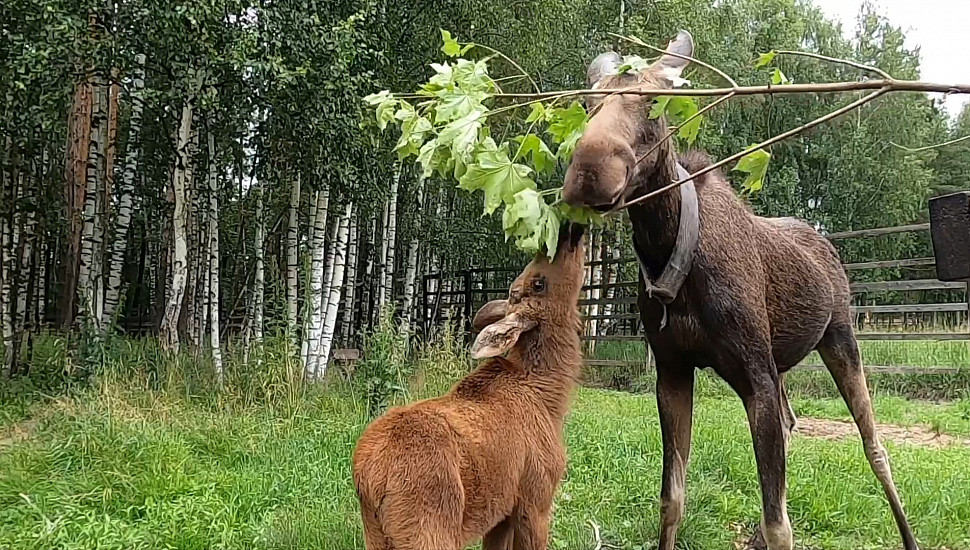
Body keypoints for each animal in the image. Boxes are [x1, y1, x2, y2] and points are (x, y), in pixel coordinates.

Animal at [352, 223, 588, 550]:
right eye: (539, 283)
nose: (569, 230)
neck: (549, 398)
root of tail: (370, 477)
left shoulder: (501, 515)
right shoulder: (536, 498)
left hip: (376, 535)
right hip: (429, 528)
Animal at [560, 29, 916, 550]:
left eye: (654, 100)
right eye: (586, 103)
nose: (589, 171)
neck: (667, 249)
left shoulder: (756, 377)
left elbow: (778, 523)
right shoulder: (673, 371)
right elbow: (672, 499)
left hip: (840, 338)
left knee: (874, 445)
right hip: (783, 363)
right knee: (792, 423)